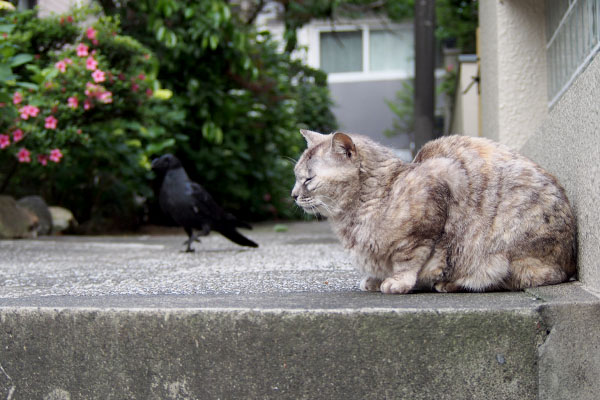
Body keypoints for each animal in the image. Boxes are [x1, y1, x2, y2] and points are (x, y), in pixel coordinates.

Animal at [290, 130, 576, 294]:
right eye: (295, 176)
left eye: (308, 179)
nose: (292, 195)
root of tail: (570, 261)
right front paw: (374, 279)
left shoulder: (433, 199)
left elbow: (408, 260)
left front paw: (396, 282)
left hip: (503, 254)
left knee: (516, 279)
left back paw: (451, 284)